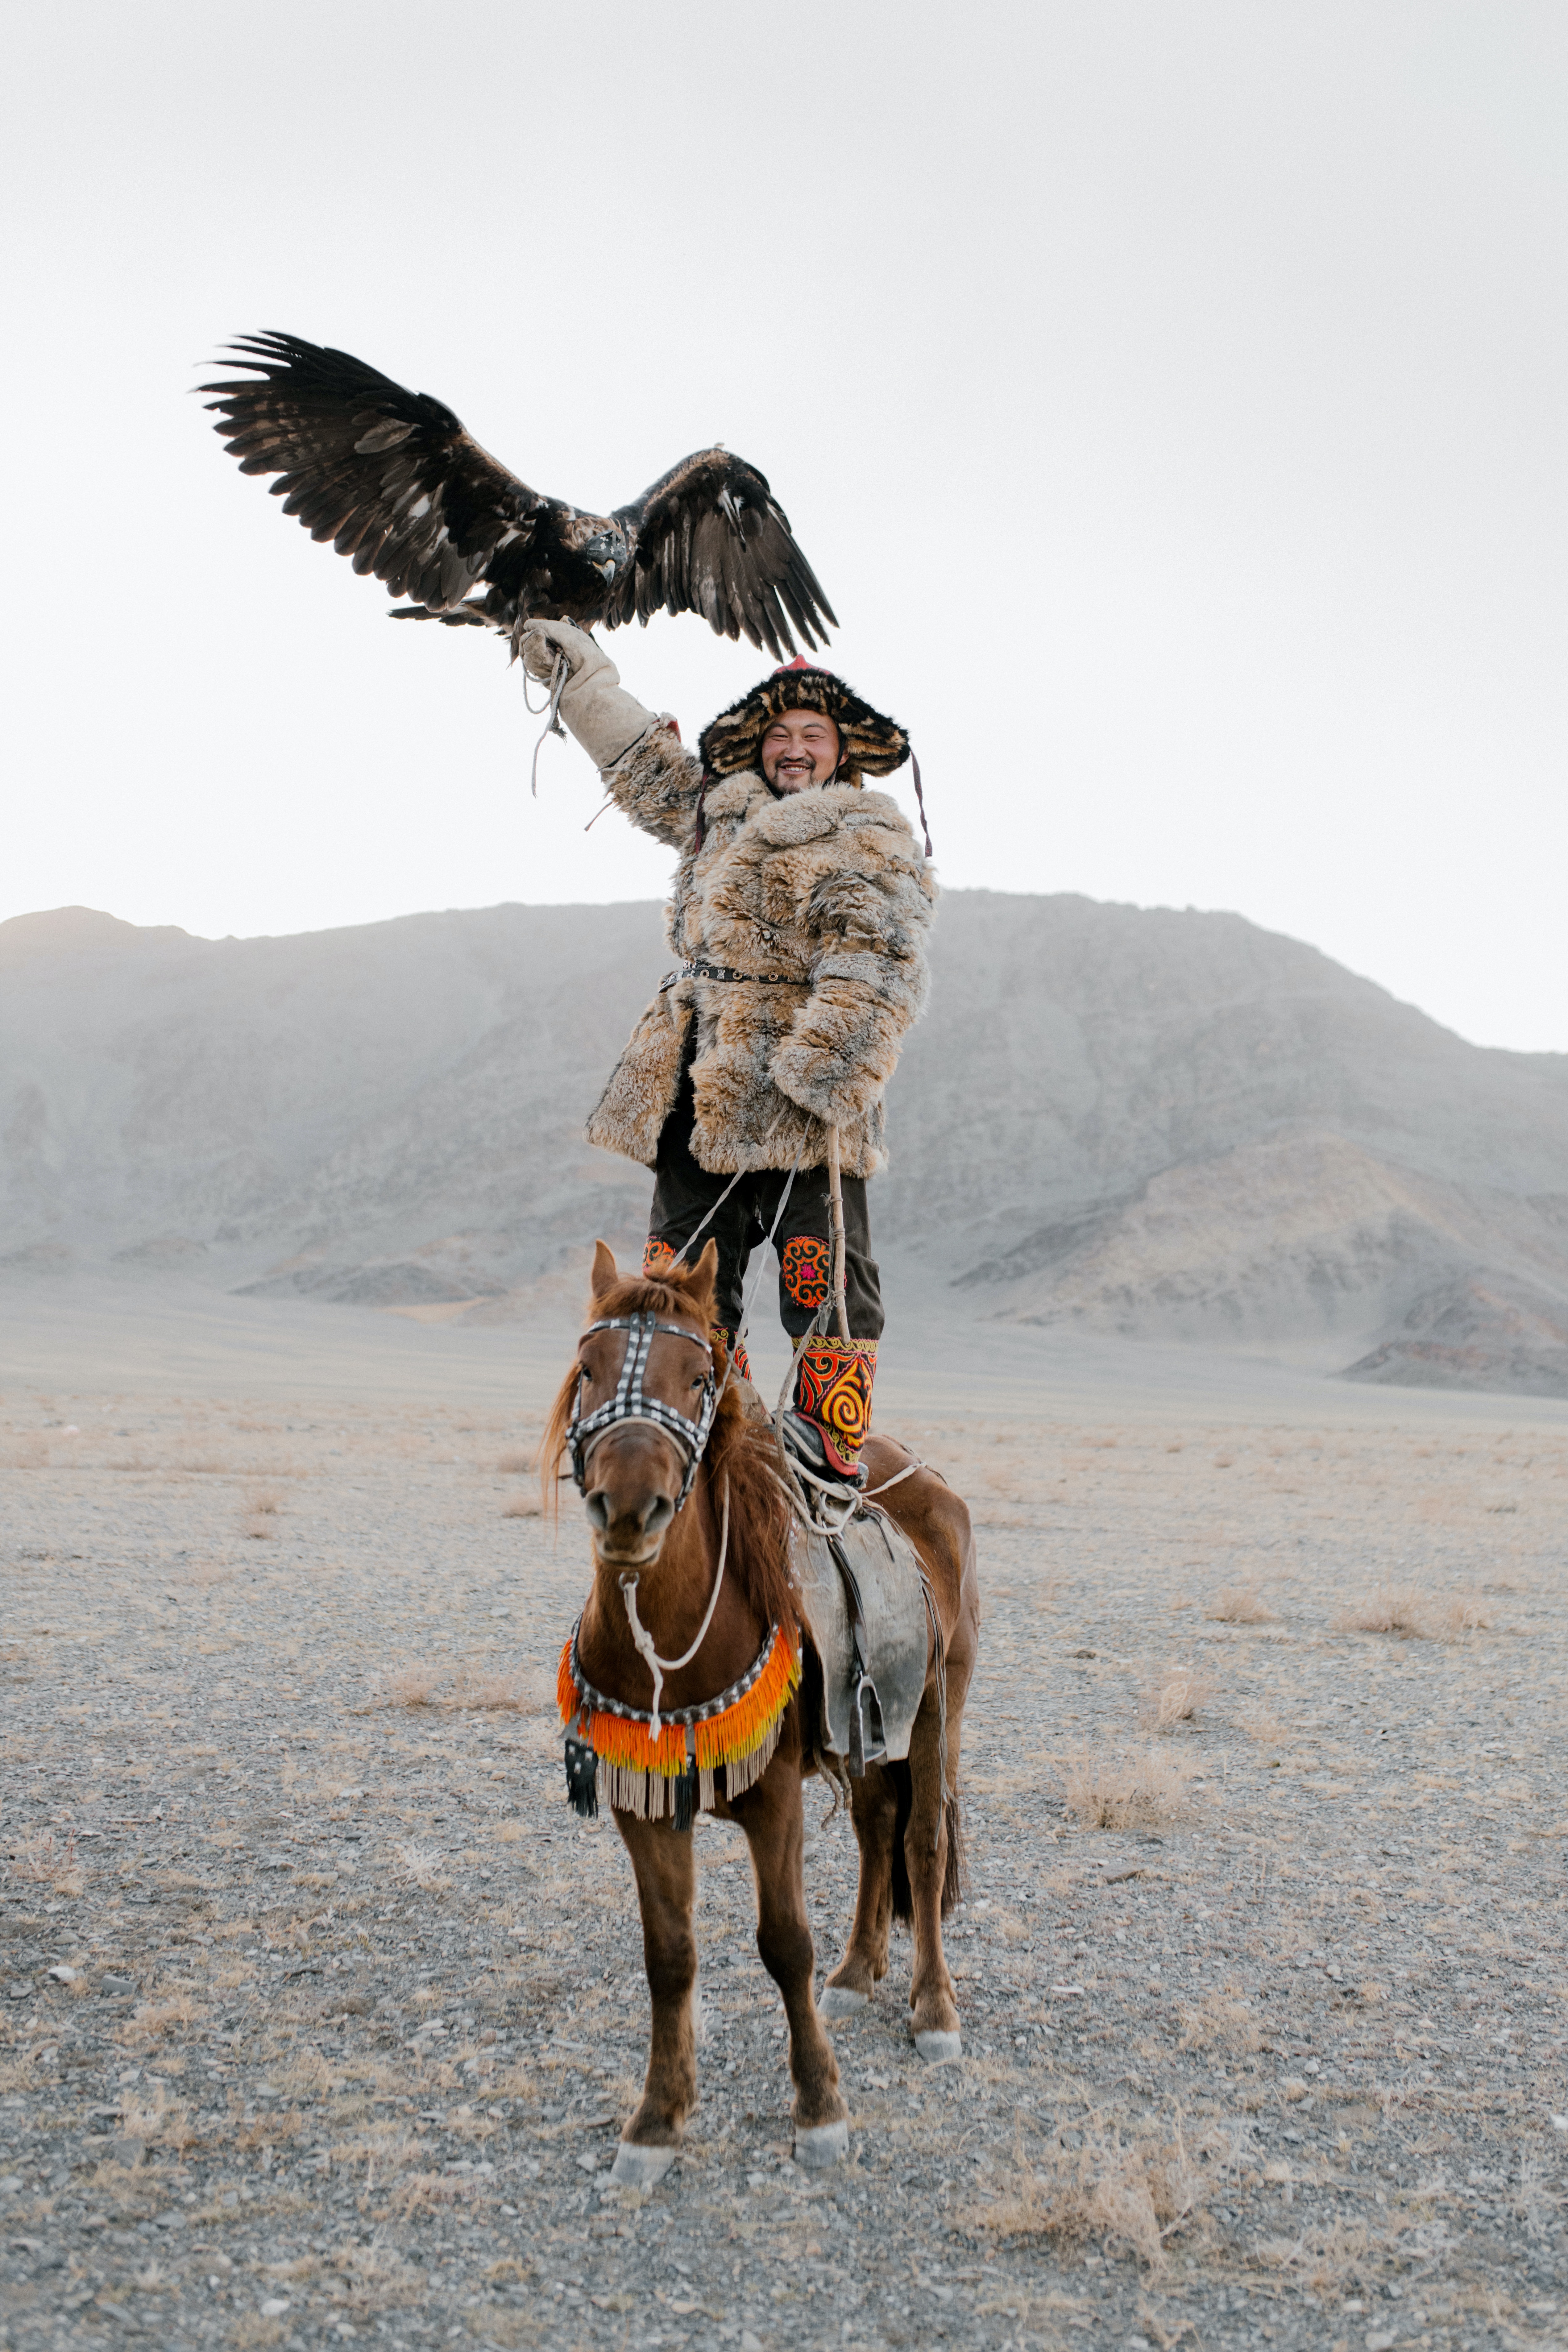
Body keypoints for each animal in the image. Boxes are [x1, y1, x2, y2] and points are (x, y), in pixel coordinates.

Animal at [545, 1242, 973, 2173]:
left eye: (700, 1378)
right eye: (588, 1370)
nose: (628, 1509)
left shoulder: (774, 1796)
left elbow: (783, 1942)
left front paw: (818, 2106)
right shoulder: (644, 1804)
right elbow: (669, 1954)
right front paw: (657, 2118)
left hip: (935, 1704)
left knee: (922, 1843)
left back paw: (932, 2007)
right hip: (868, 1726)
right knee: (875, 1828)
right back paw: (856, 1971)